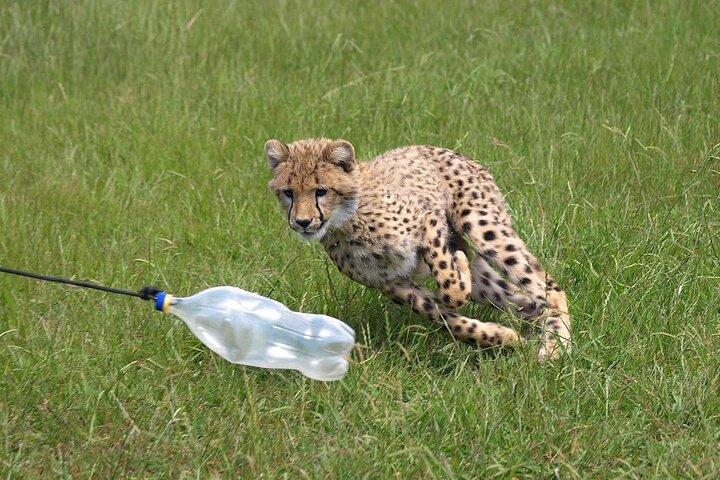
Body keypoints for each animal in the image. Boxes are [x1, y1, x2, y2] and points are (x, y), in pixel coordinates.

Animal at [265, 138, 571, 361]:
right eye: (288, 192)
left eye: (321, 190)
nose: (302, 222)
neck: (349, 221)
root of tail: (451, 151)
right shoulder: (390, 283)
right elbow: (443, 315)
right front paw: (501, 337)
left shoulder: (428, 219)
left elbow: (450, 287)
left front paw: (457, 271)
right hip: (485, 277)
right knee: (519, 296)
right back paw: (530, 318)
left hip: (481, 226)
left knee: (549, 287)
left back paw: (556, 347)